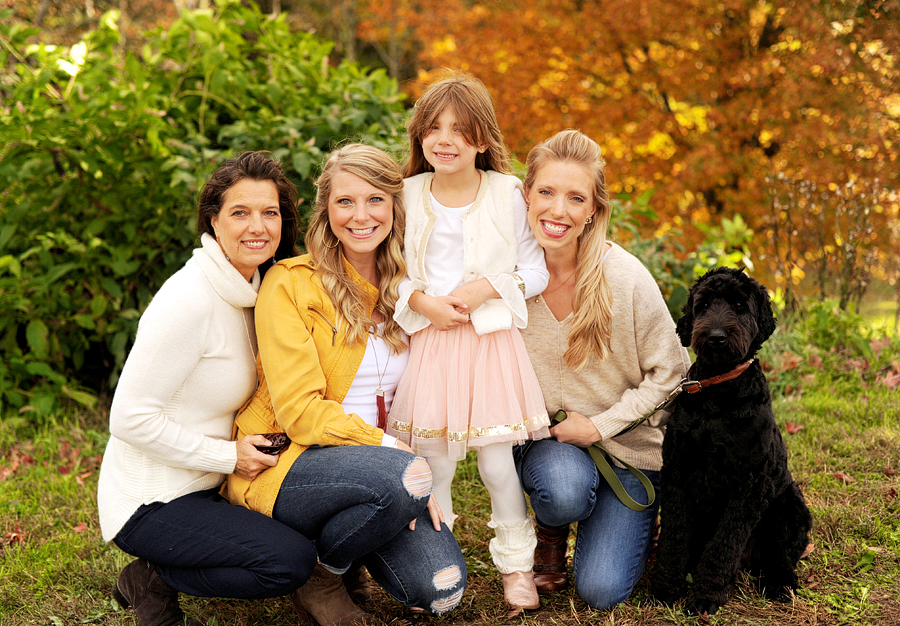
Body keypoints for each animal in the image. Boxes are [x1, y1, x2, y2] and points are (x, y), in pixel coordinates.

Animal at [652, 266, 812, 612]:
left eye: (739, 305)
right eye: (704, 304)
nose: (716, 337)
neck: (719, 392)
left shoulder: (749, 485)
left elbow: (724, 546)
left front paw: (706, 596)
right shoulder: (677, 474)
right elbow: (673, 537)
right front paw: (665, 589)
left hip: (789, 508)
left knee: (779, 557)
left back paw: (781, 584)